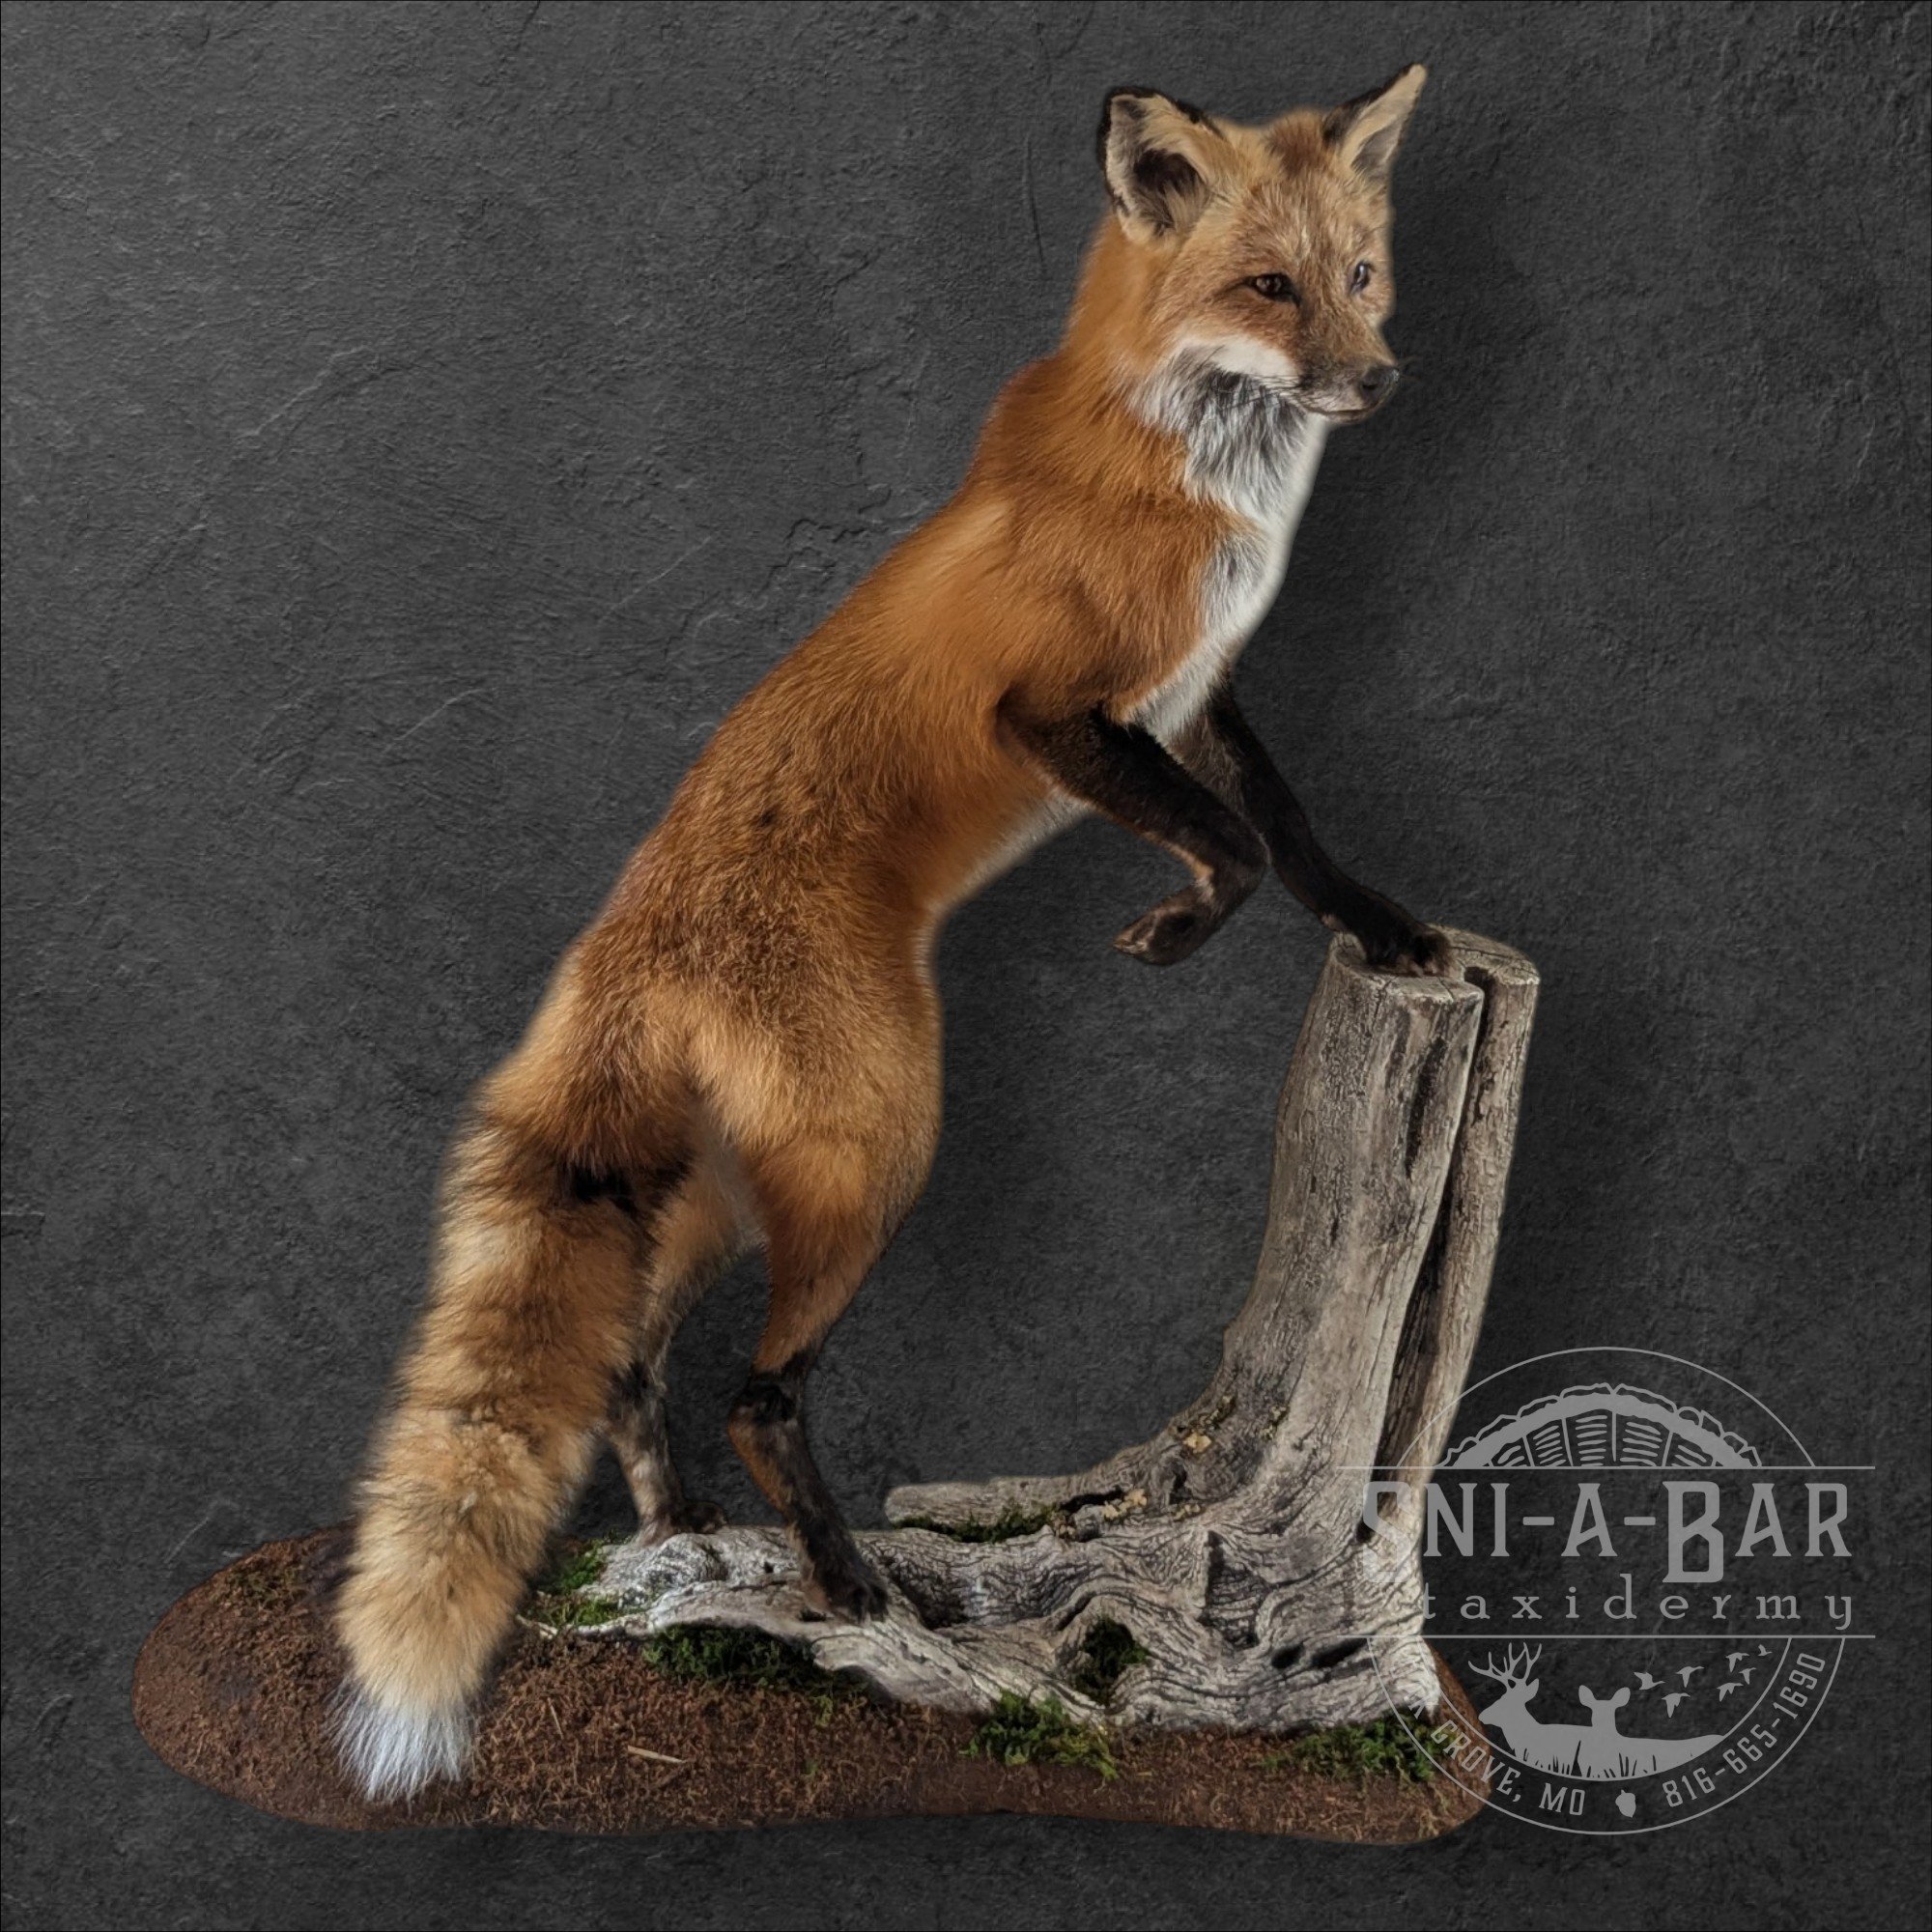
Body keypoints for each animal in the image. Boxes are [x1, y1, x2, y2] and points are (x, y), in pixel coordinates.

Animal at [335, 66, 1447, 1800]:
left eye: (1361, 274)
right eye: (1270, 288)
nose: (1381, 376)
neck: (1196, 477)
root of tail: (631, 937)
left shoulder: (1197, 693)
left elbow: (1300, 835)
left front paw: (1389, 931)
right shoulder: (1060, 713)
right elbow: (1240, 853)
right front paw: (1176, 932)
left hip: (721, 1197)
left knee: (635, 1368)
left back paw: (681, 1541)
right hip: (877, 1151)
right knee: (756, 1393)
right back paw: (847, 1583)